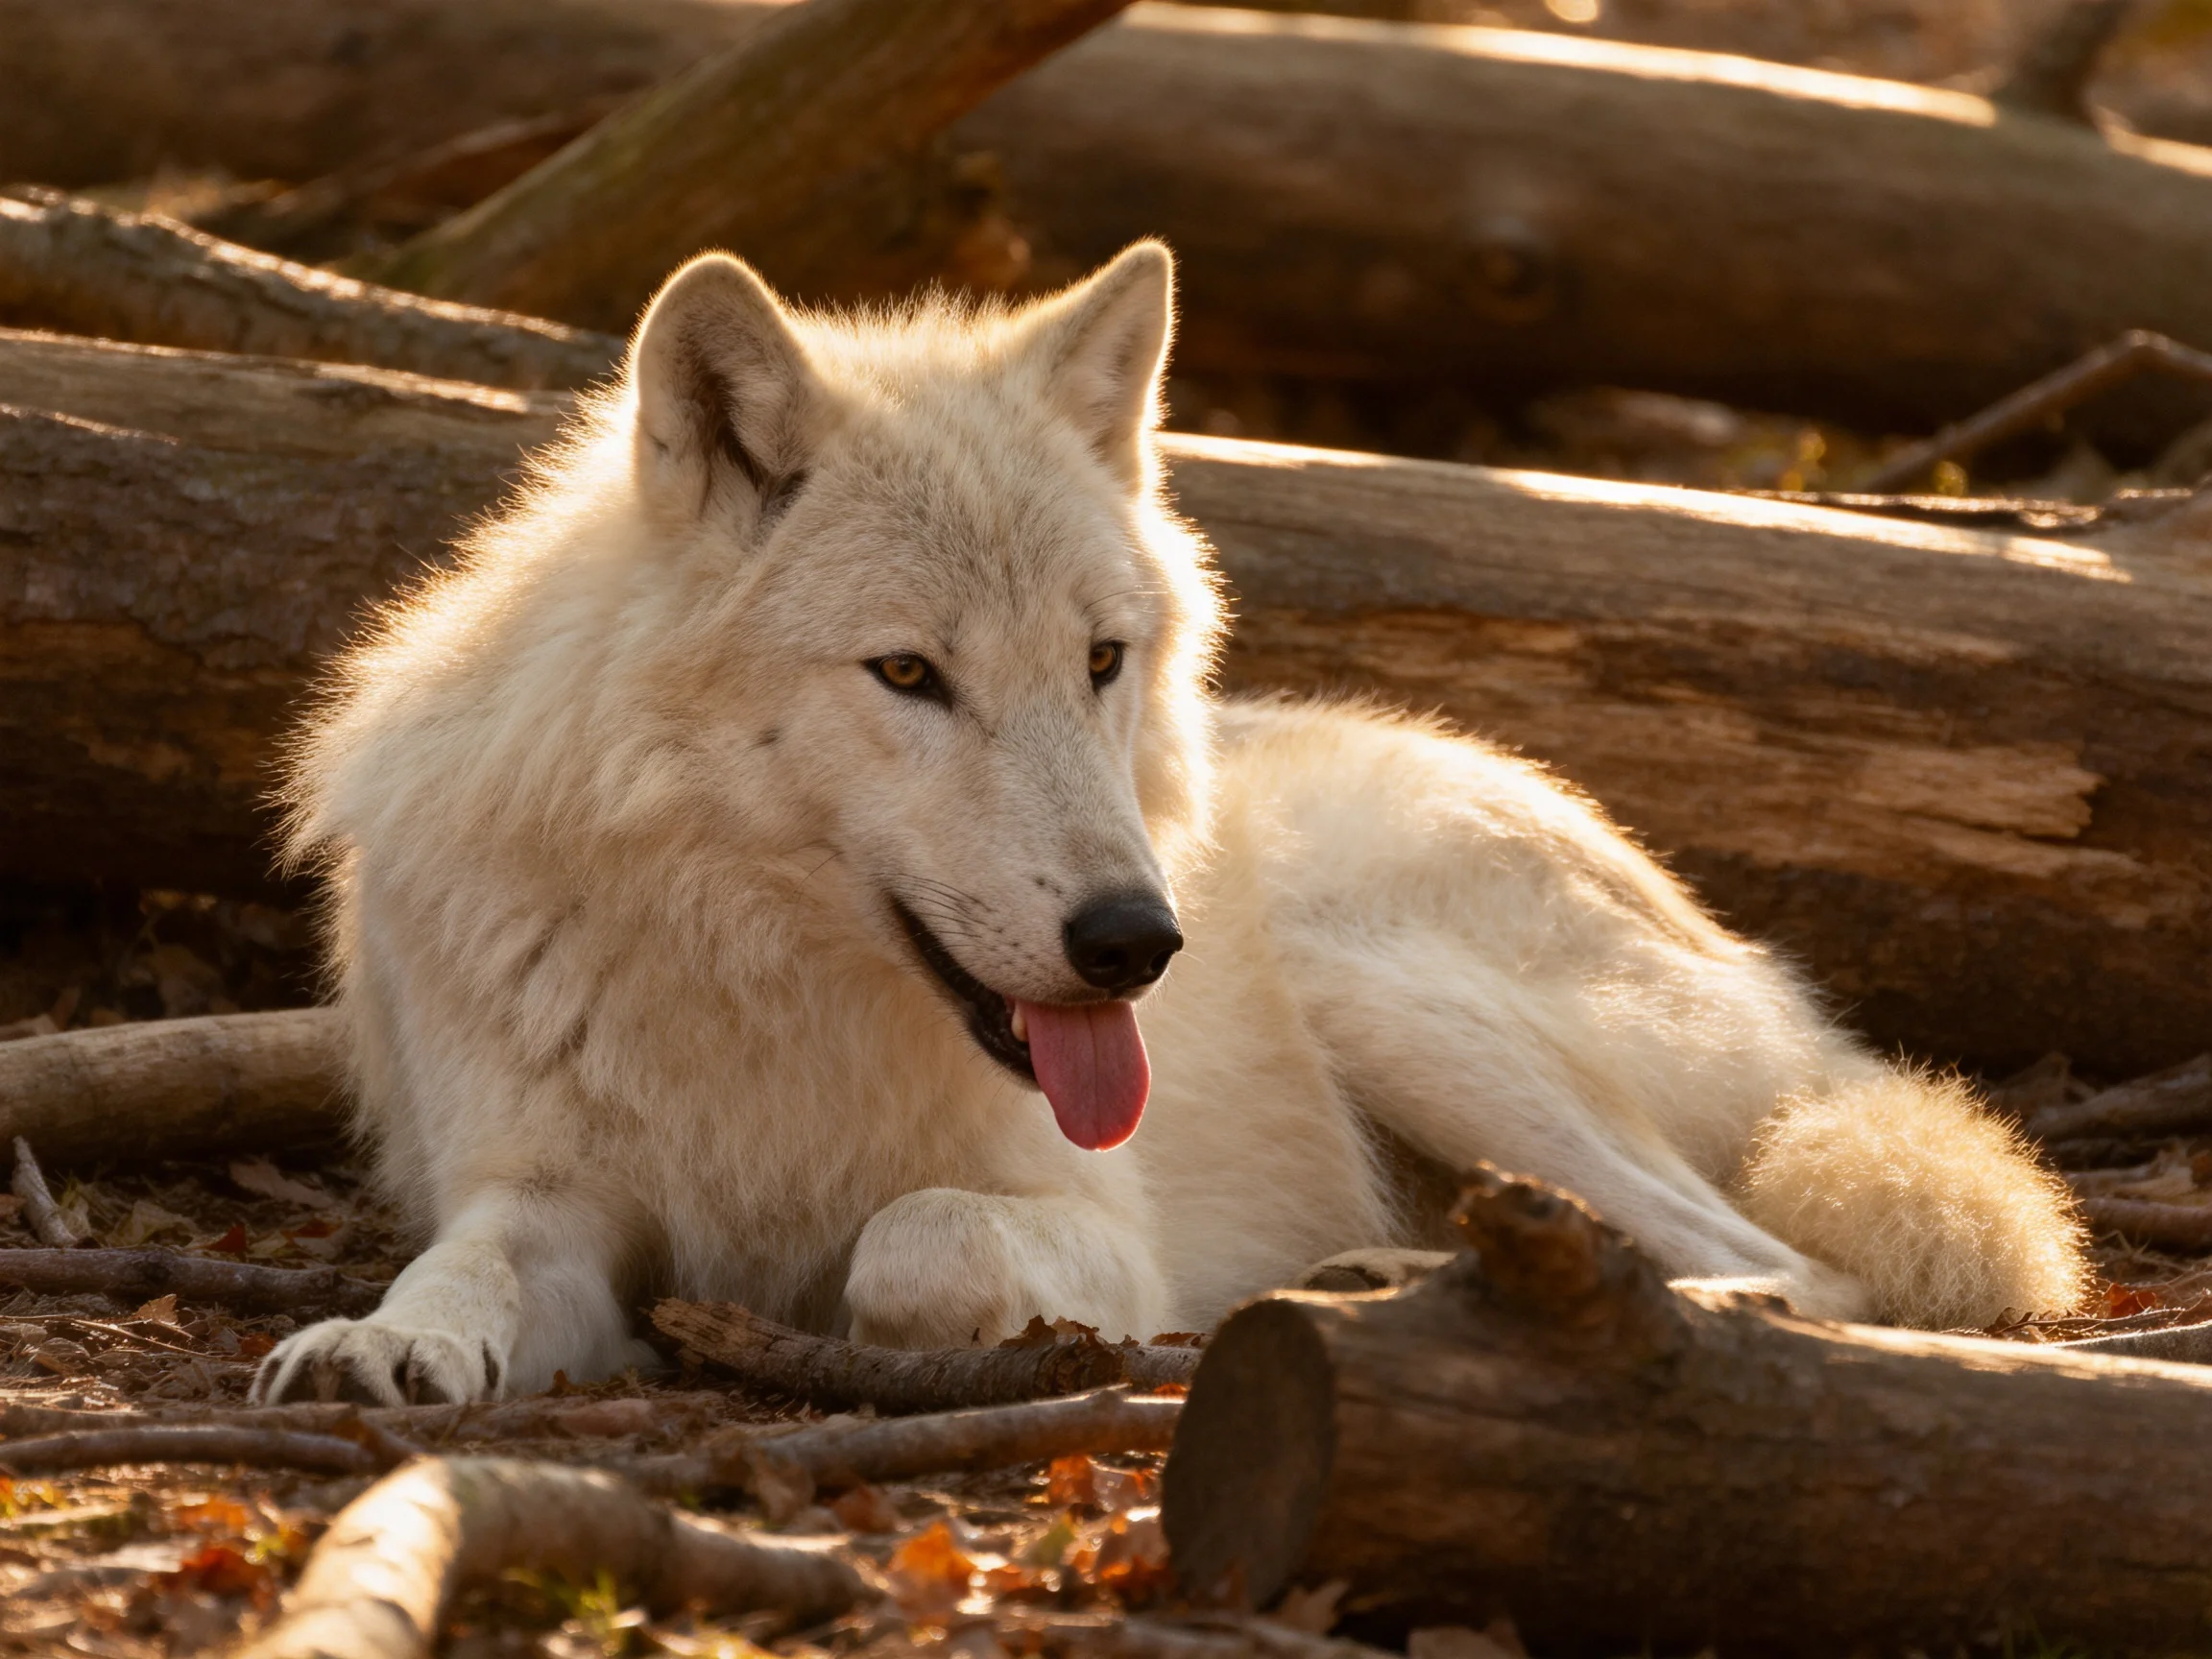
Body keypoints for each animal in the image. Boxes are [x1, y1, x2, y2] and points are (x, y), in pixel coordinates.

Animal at [256, 242, 2087, 1404]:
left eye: (1098, 659)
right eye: (908, 672)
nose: (1136, 943)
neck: (758, 985)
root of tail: (1752, 965)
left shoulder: (1082, 1221)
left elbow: (911, 1244)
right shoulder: (540, 1190)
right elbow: (467, 1267)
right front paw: (378, 1341)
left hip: (1383, 987)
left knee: (1784, 1272)